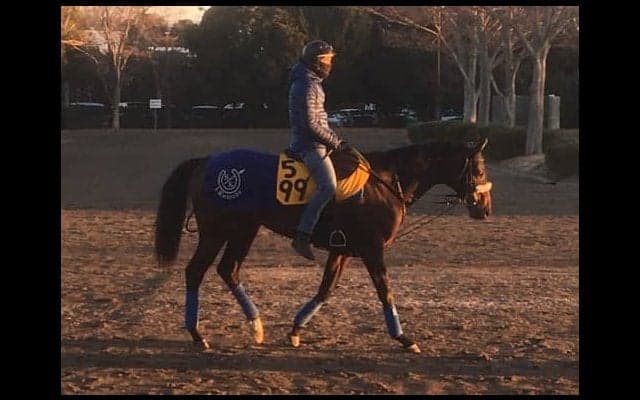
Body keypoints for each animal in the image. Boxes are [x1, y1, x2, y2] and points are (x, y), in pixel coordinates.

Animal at [154, 138, 493, 353]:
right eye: (478, 170)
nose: (485, 207)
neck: (384, 181)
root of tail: (207, 161)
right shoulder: (372, 249)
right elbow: (385, 291)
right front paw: (404, 338)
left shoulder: (341, 250)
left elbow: (325, 289)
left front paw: (294, 331)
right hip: (217, 231)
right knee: (196, 271)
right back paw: (198, 335)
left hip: (243, 230)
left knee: (229, 269)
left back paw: (256, 325)